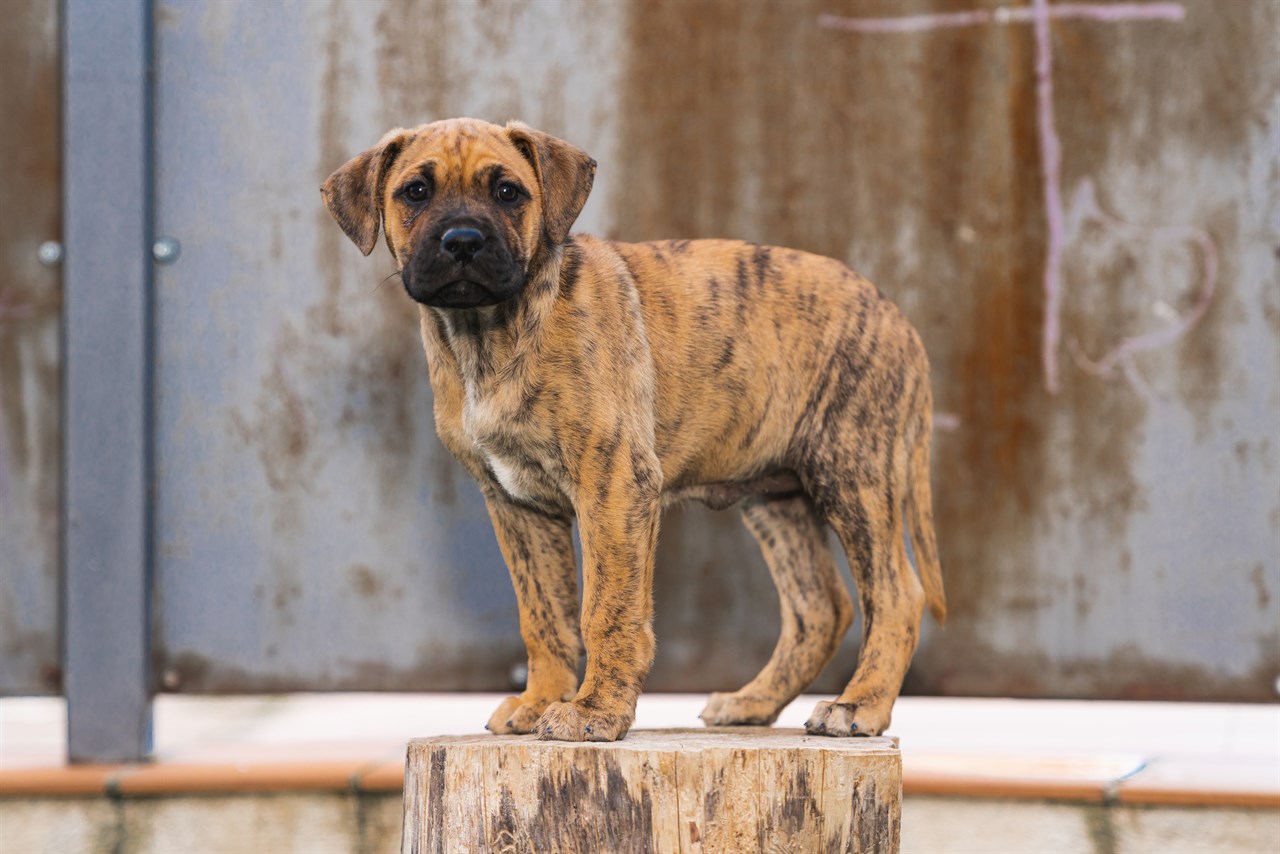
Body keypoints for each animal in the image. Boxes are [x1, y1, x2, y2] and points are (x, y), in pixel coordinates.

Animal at [322, 118, 942, 742]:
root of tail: (899, 319)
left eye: (508, 192)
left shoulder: (614, 480)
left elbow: (607, 608)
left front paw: (596, 712)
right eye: (415, 192)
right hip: (776, 497)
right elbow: (543, 613)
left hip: (854, 472)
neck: (491, 332)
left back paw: (859, 705)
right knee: (821, 607)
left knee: (895, 593)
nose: (463, 242)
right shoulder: (517, 505)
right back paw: (753, 701)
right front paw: (542, 700)